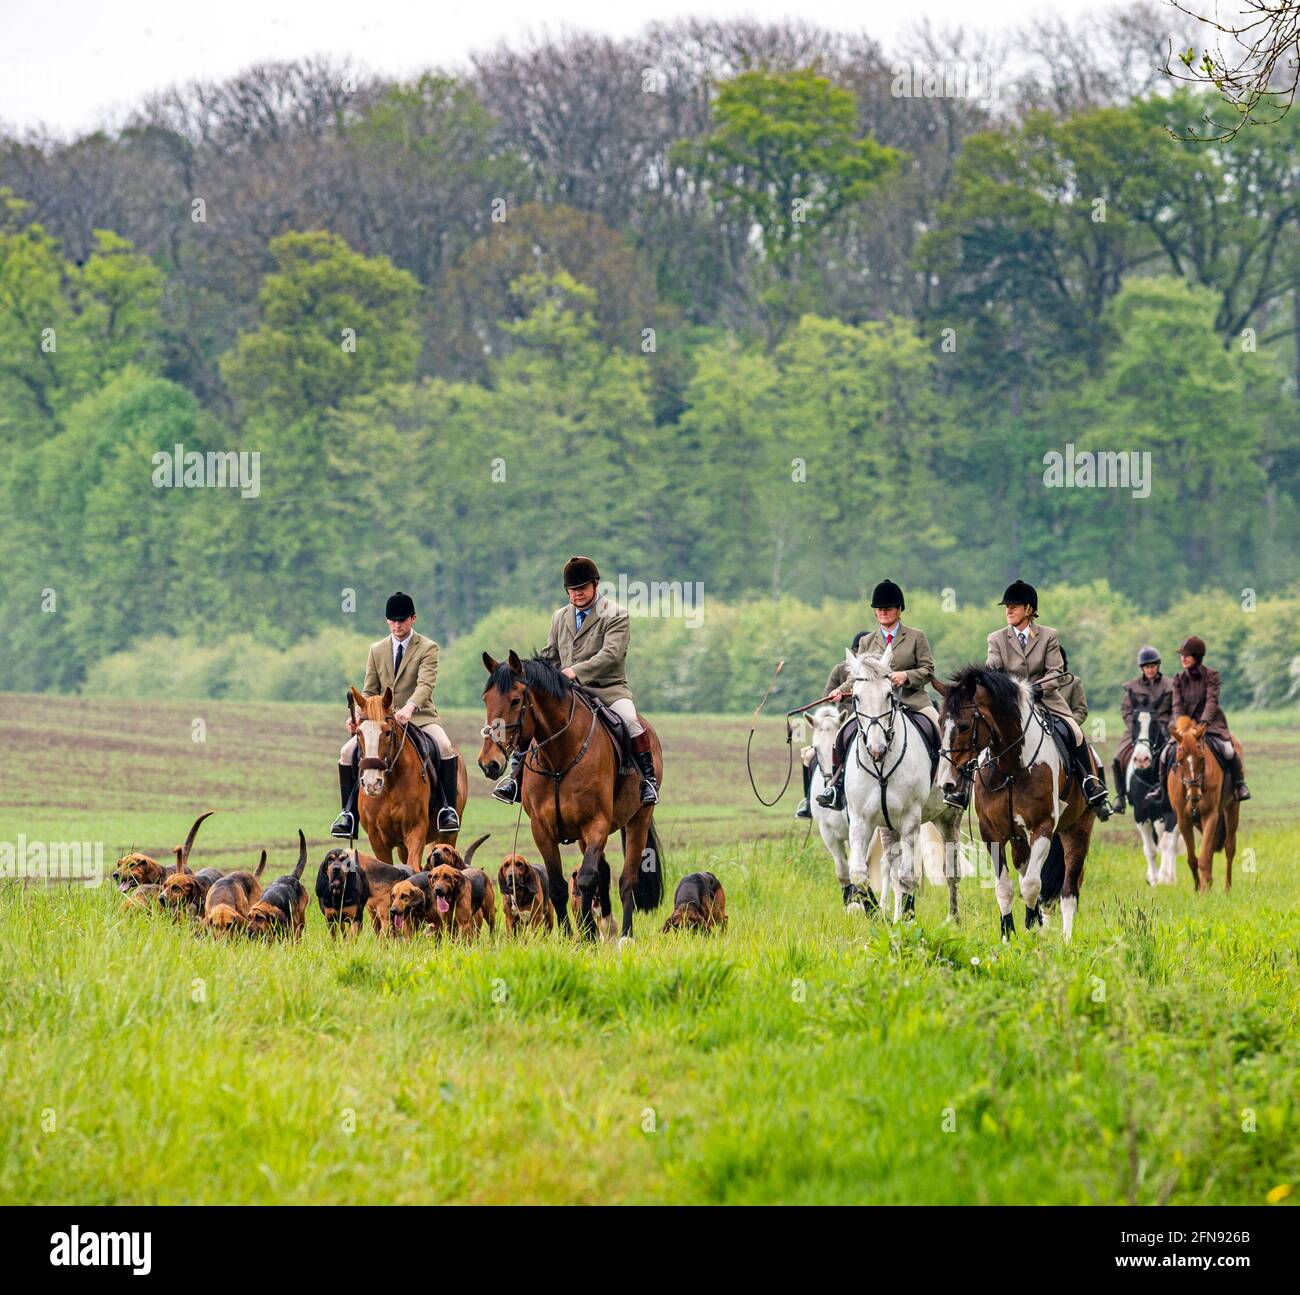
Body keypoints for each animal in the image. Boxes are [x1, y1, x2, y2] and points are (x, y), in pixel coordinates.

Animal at [478, 647, 665, 941]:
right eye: (486, 699)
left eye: (516, 700)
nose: (489, 763)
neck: (559, 757)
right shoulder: (542, 829)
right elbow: (558, 885)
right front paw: (570, 937)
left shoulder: (596, 824)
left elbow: (587, 879)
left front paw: (586, 935)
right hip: (584, 837)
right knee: (603, 871)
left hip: (638, 820)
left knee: (626, 880)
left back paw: (624, 935)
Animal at [842, 647, 967, 920]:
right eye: (856, 697)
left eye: (889, 694)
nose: (876, 749)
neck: (881, 768)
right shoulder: (860, 820)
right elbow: (860, 874)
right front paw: (877, 914)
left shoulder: (910, 820)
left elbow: (909, 877)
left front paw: (906, 921)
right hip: (888, 827)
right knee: (891, 866)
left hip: (948, 818)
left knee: (951, 871)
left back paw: (952, 919)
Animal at [935, 665, 1097, 941]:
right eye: (939, 723)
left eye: (965, 726)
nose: (946, 783)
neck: (1011, 768)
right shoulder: (991, 832)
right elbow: (1005, 887)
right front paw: (1007, 935)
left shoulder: (1042, 828)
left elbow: (1032, 884)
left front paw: (1032, 926)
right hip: (1018, 840)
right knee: (1025, 871)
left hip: (1077, 830)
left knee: (1068, 890)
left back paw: (1066, 939)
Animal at [1128, 707, 1180, 889]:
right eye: (1133, 723)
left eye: (1156, 723)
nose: (1141, 759)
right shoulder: (1141, 815)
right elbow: (1149, 850)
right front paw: (1154, 879)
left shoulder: (1172, 815)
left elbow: (1167, 844)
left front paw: (1164, 878)